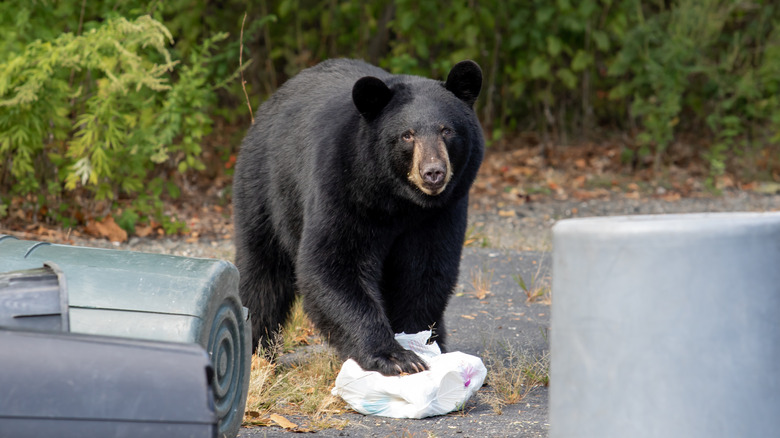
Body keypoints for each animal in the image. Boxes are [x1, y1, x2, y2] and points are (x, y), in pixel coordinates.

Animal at [233, 58, 484, 376]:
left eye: (447, 131)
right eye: (407, 134)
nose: (433, 172)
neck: (399, 200)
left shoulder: (442, 212)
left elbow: (425, 271)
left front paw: (419, 342)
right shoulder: (343, 188)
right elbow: (333, 264)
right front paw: (396, 356)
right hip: (266, 189)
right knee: (262, 273)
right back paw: (257, 352)